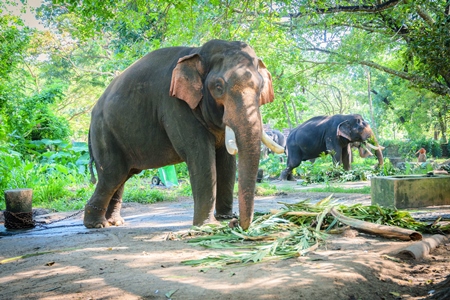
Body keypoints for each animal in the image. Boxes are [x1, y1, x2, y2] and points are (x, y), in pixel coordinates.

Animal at [84, 38, 284, 230]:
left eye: (261, 86)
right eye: (218, 87)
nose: (236, 223)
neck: (197, 52)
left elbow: (227, 161)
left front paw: (225, 217)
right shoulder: (175, 105)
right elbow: (200, 156)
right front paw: (208, 225)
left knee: (123, 176)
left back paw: (115, 222)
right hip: (104, 133)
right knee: (112, 175)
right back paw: (97, 224)